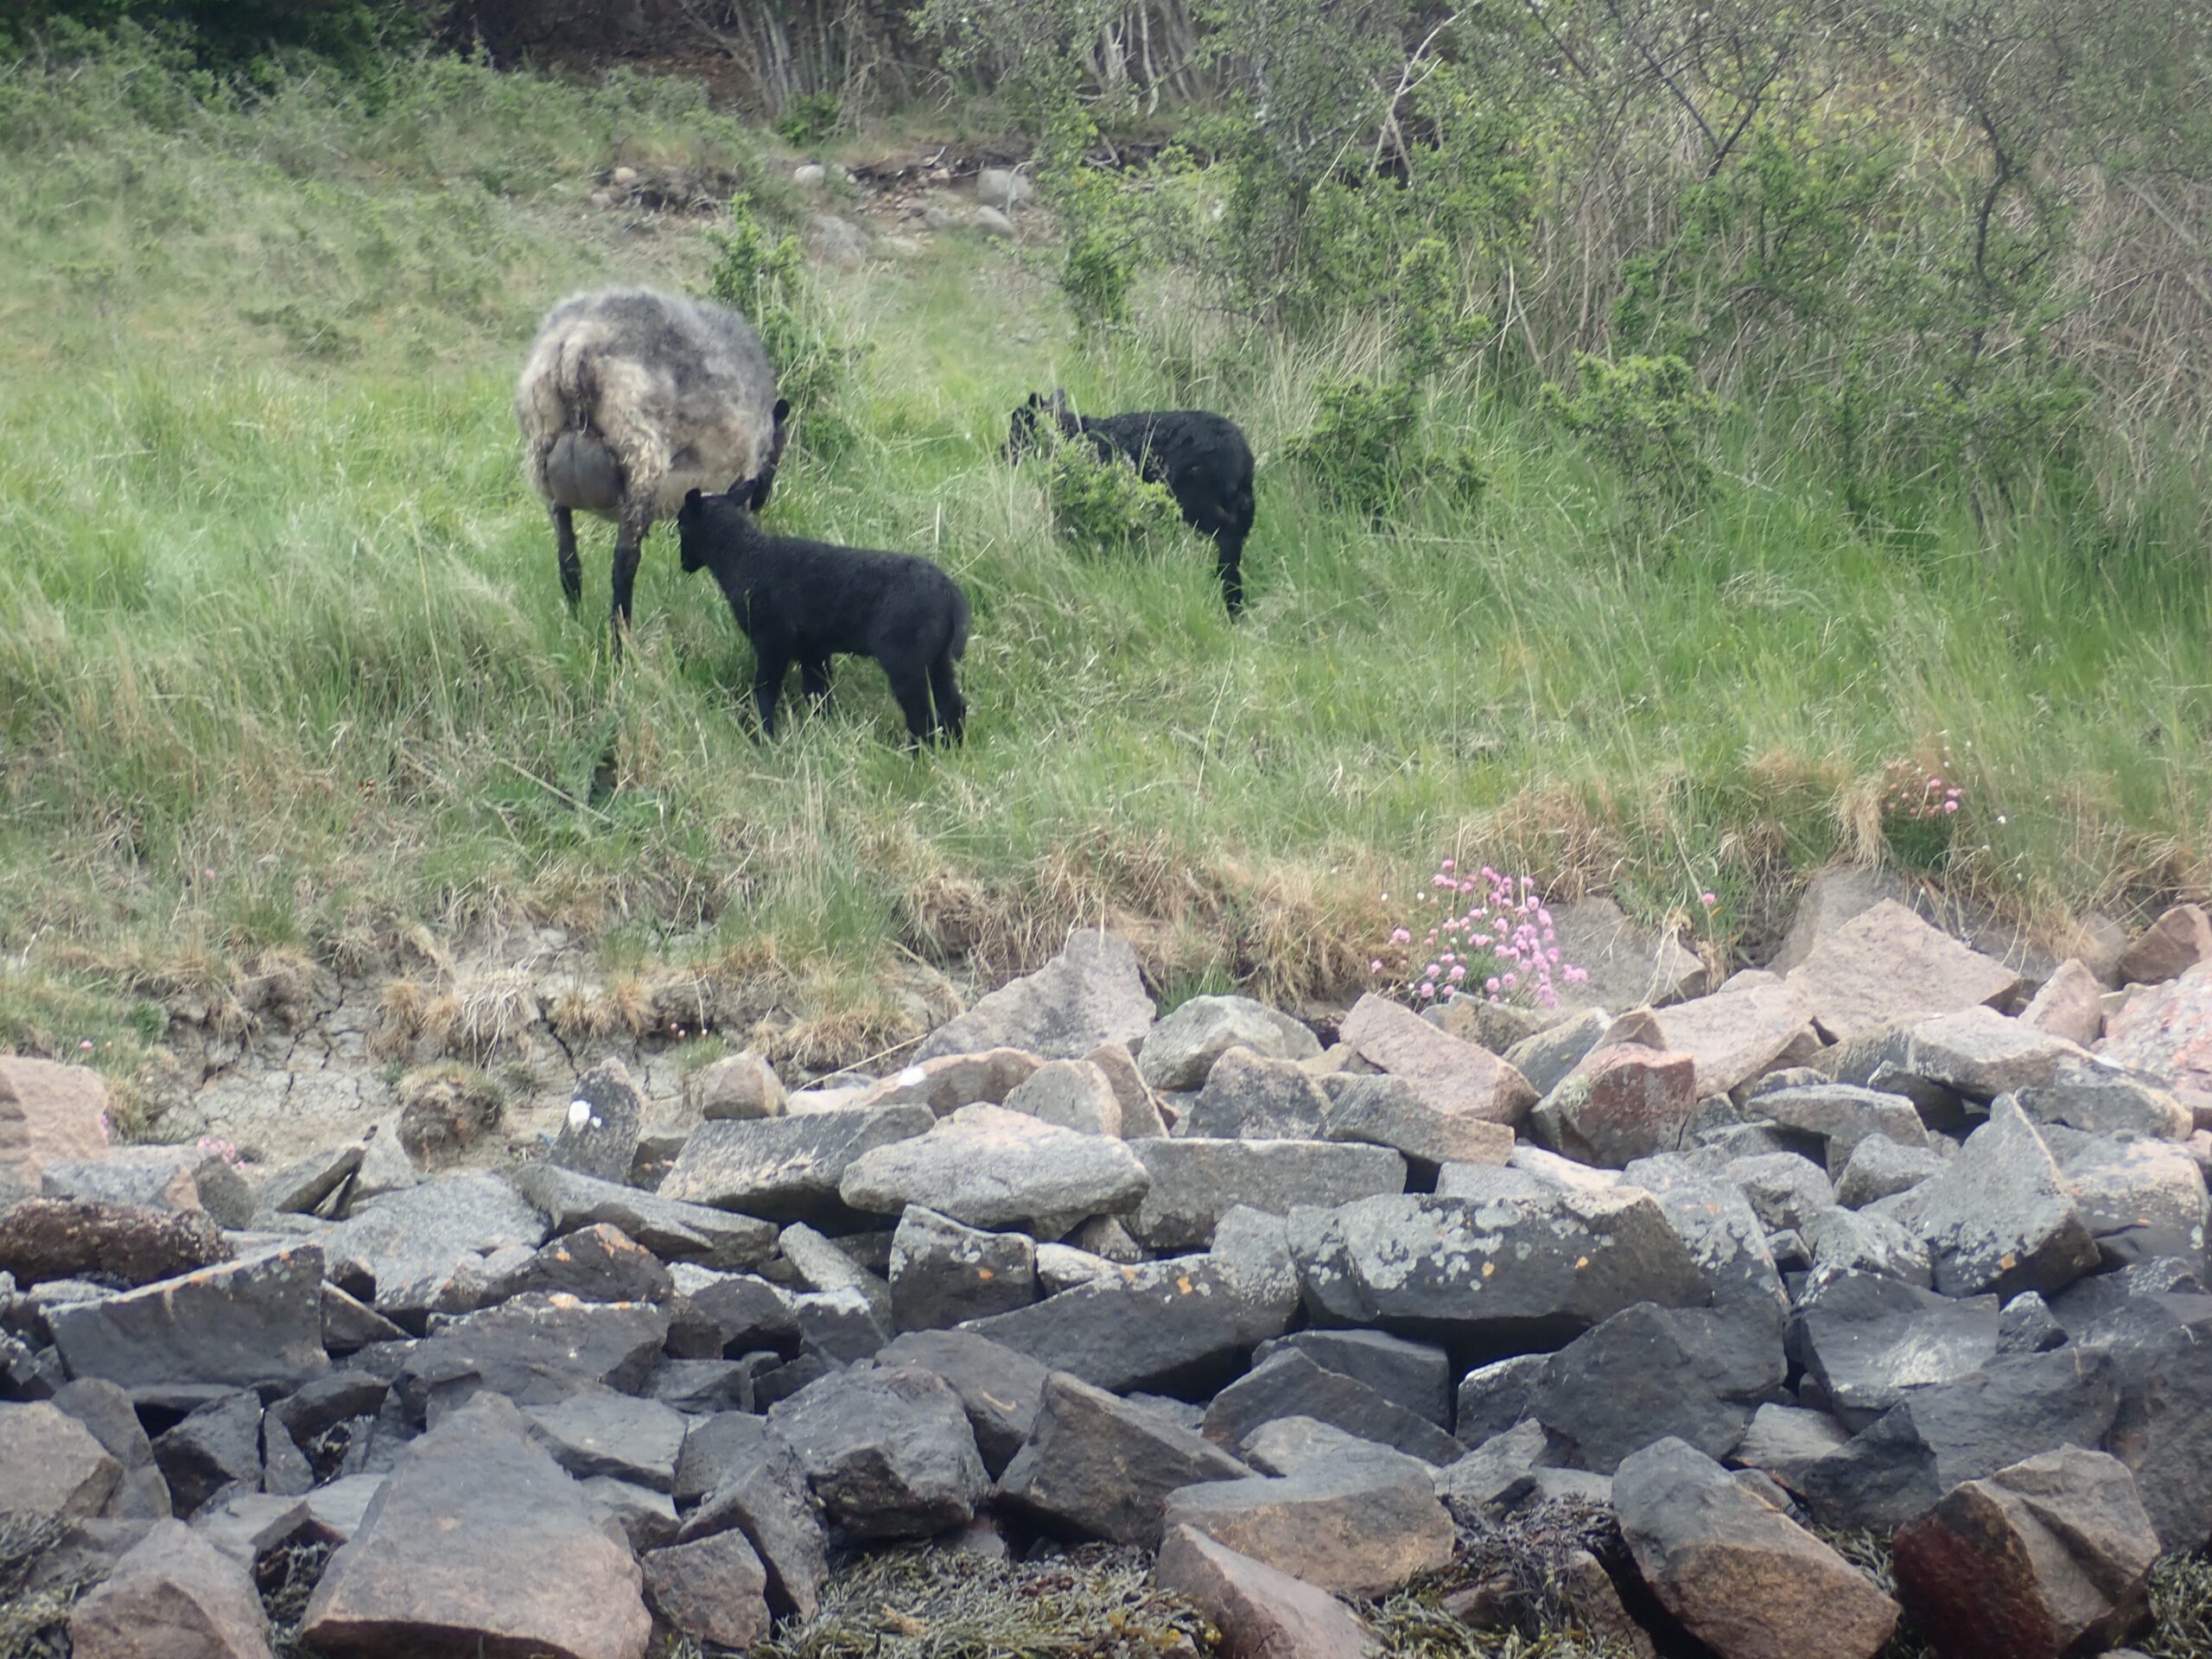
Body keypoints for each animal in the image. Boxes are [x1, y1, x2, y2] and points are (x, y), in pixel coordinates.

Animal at [516, 286, 789, 638]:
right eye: (780, 446)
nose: (761, 499)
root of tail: (575, 345)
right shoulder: (742, 479)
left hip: (544, 465)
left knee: (568, 559)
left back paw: (576, 624)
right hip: (641, 456)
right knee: (624, 562)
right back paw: (621, 639)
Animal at [674, 485, 970, 748]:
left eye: (680, 526)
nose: (684, 565)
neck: (744, 557)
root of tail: (952, 596)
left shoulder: (773, 640)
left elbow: (766, 691)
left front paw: (761, 736)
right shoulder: (813, 650)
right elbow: (818, 694)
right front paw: (821, 731)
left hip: (905, 657)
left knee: (921, 714)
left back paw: (916, 755)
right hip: (937, 657)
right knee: (953, 705)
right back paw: (953, 749)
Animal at [1007, 390, 1257, 617]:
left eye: (1018, 427)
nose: (1004, 451)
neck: (1072, 435)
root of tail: (1241, 455)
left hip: (1197, 499)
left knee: (1227, 534)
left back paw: (1228, 590)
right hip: (1242, 501)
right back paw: (1233, 595)